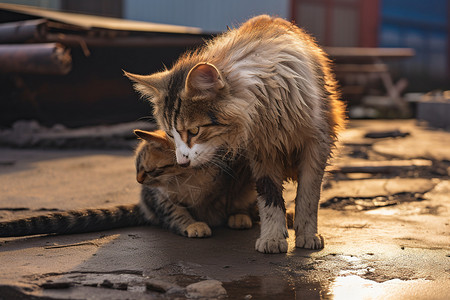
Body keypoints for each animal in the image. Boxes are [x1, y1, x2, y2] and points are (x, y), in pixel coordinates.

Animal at [0, 130, 256, 238]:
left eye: (149, 170)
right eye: (136, 169)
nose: (138, 180)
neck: (186, 178)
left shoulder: (236, 167)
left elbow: (231, 195)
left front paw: (236, 212)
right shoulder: (159, 197)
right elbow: (175, 213)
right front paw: (192, 224)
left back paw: (240, 216)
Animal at [125, 14, 346, 253]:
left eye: (194, 131)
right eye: (170, 135)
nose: (182, 163)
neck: (270, 107)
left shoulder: (317, 144)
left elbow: (308, 196)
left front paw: (307, 234)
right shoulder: (263, 150)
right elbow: (269, 197)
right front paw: (272, 237)